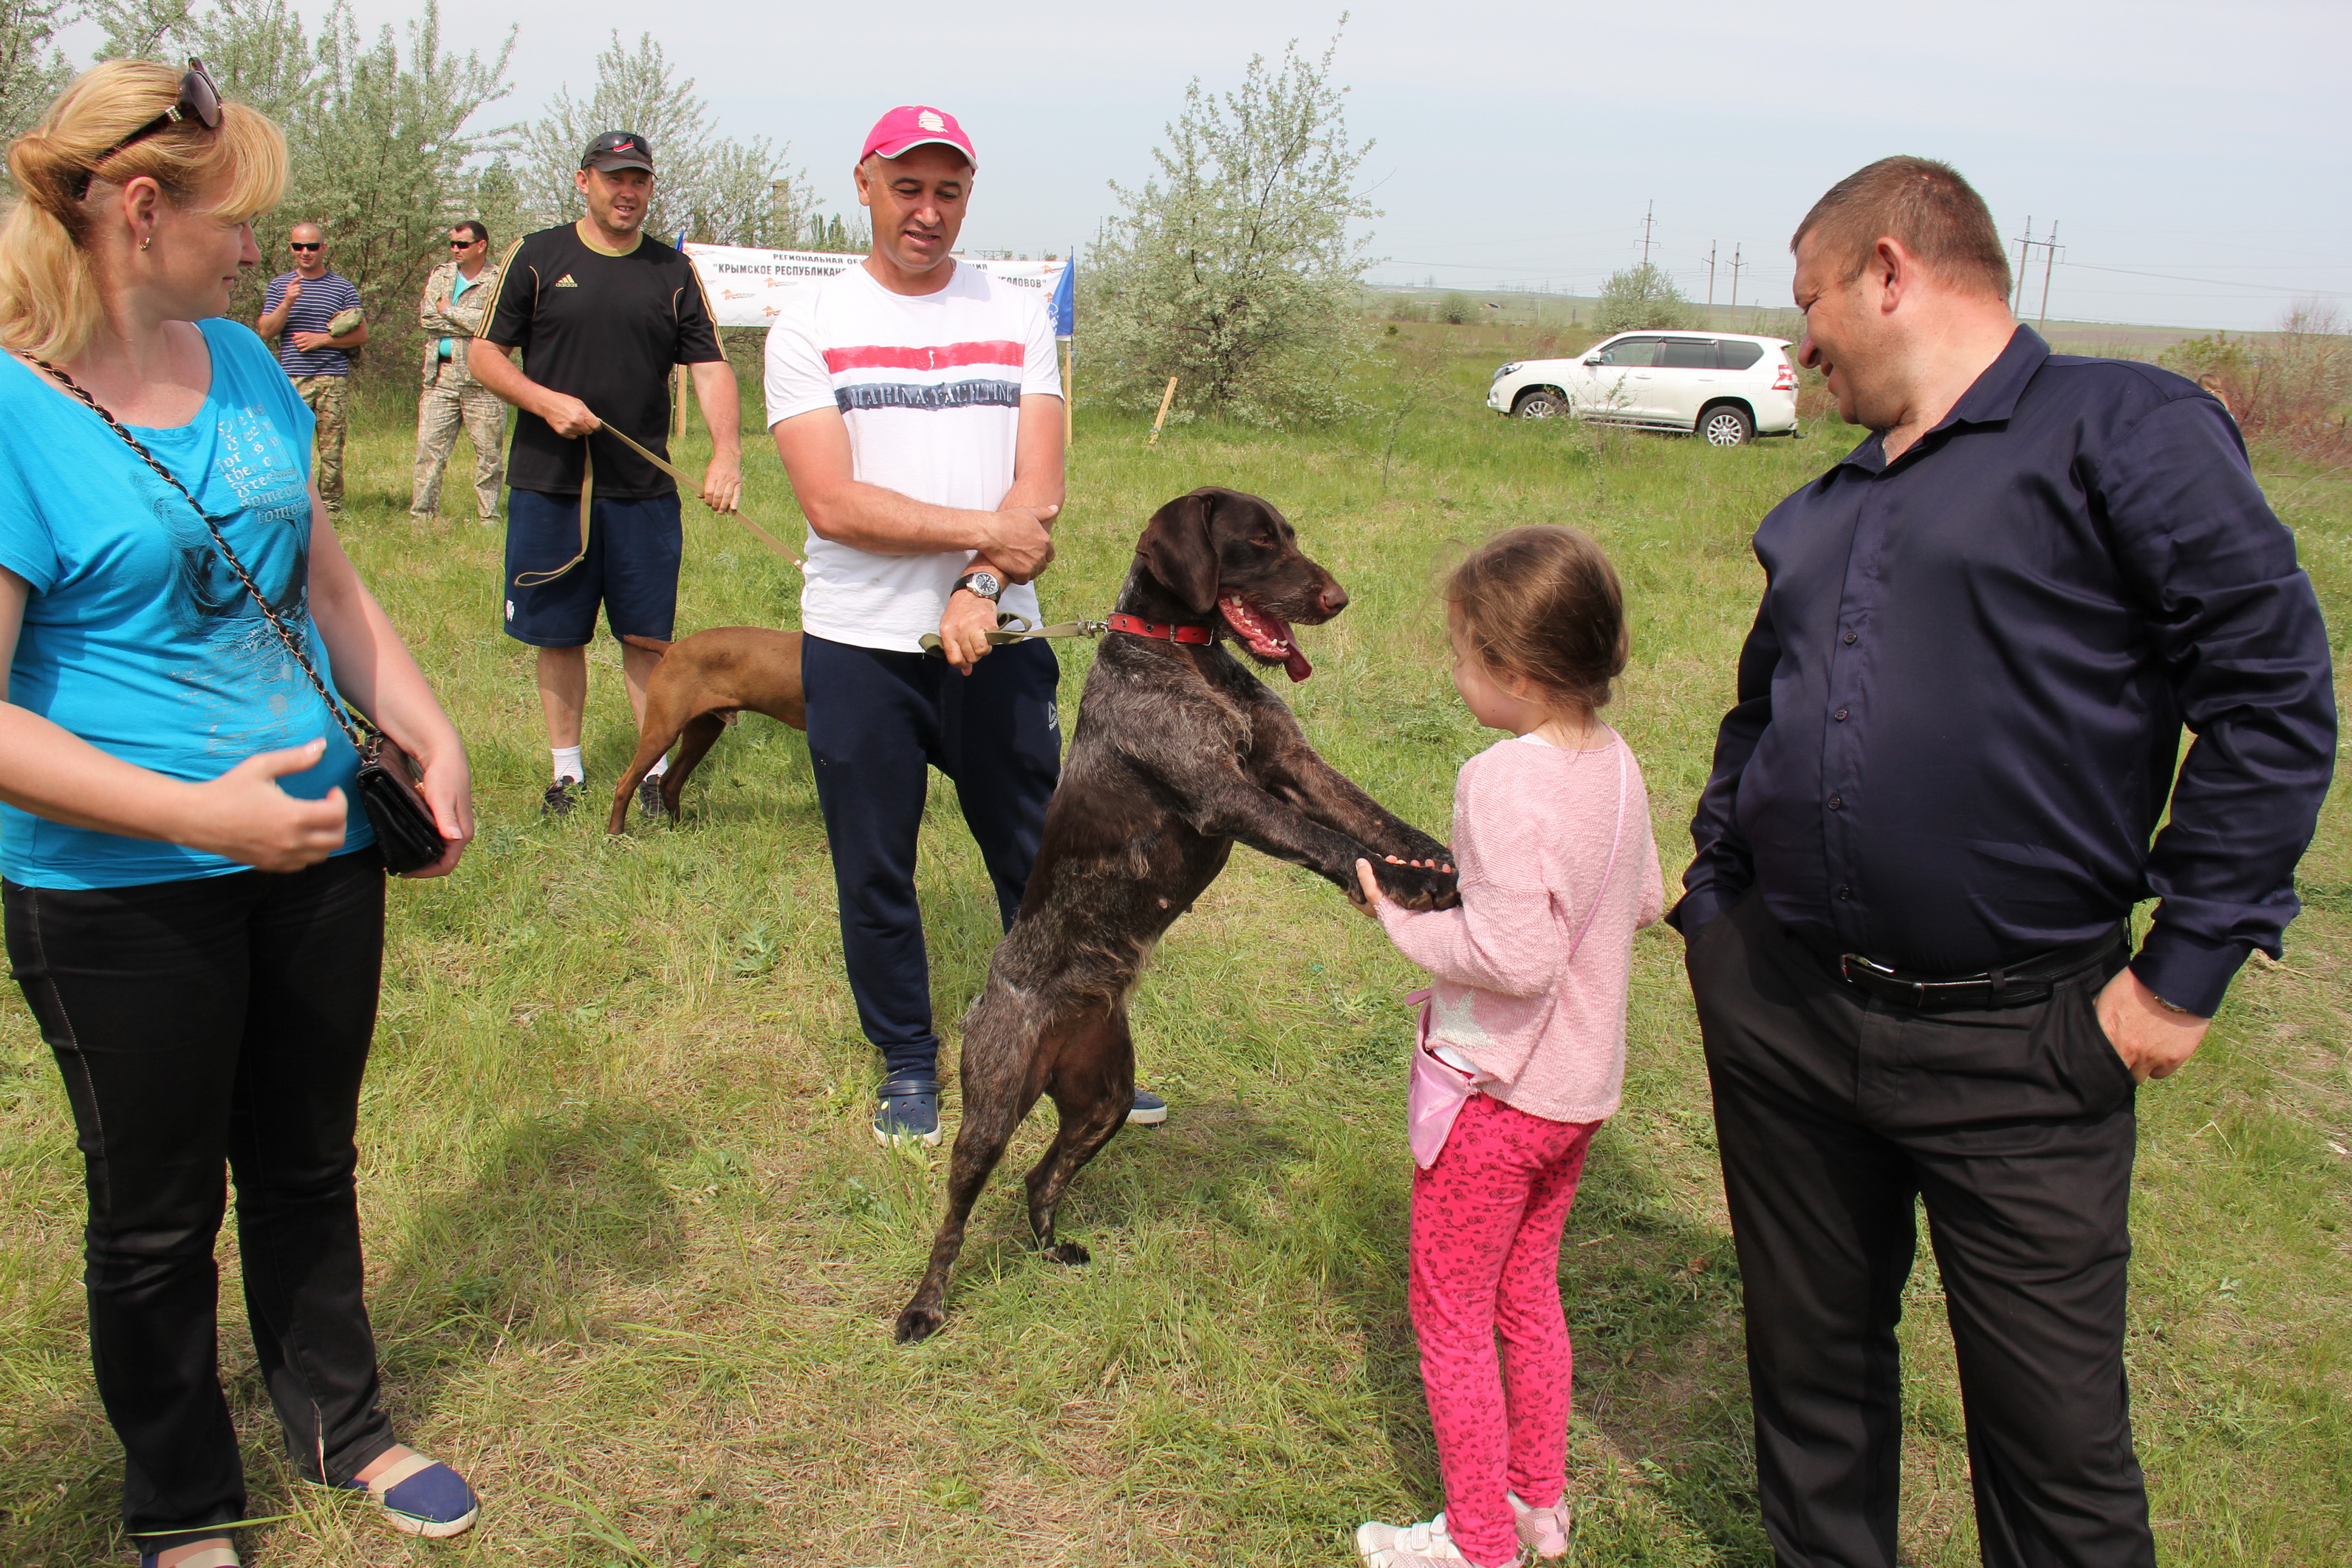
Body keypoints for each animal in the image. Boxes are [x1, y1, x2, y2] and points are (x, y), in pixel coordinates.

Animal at [606, 628, 807, 833]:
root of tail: (671, 648)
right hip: (662, 733)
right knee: (624, 785)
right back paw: (615, 833)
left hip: (702, 734)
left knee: (670, 783)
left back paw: (678, 828)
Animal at [893, 486, 1460, 1343]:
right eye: (1258, 542)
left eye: (1290, 534)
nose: (1336, 598)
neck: (1183, 651)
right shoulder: (1225, 794)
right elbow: (1327, 840)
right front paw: (1397, 880)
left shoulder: (1293, 764)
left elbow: (1369, 813)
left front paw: (1432, 864)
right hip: (991, 1106)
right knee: (956, 1212)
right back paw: (923, 1306)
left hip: (1103, 1101)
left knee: (1039, 1178)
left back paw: (1052, 1248)